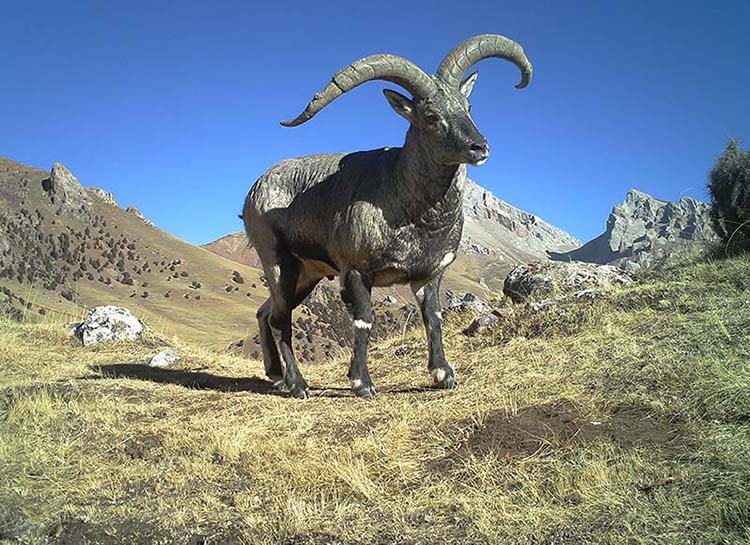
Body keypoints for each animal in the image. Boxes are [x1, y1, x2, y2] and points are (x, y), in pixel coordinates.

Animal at [244, 35, 532, 400]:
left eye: (467, 107)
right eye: (431, 116)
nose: (479, 146)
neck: (413, 212)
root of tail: (255, 188)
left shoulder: (428, 274)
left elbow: (433, 318)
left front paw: (444, 374)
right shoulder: (356, 270)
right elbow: (364, 322)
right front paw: (362, 383)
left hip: (307, 274)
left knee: (266, 311)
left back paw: (276, 376)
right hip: (278, 262)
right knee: (280, 319)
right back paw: (298, 385)